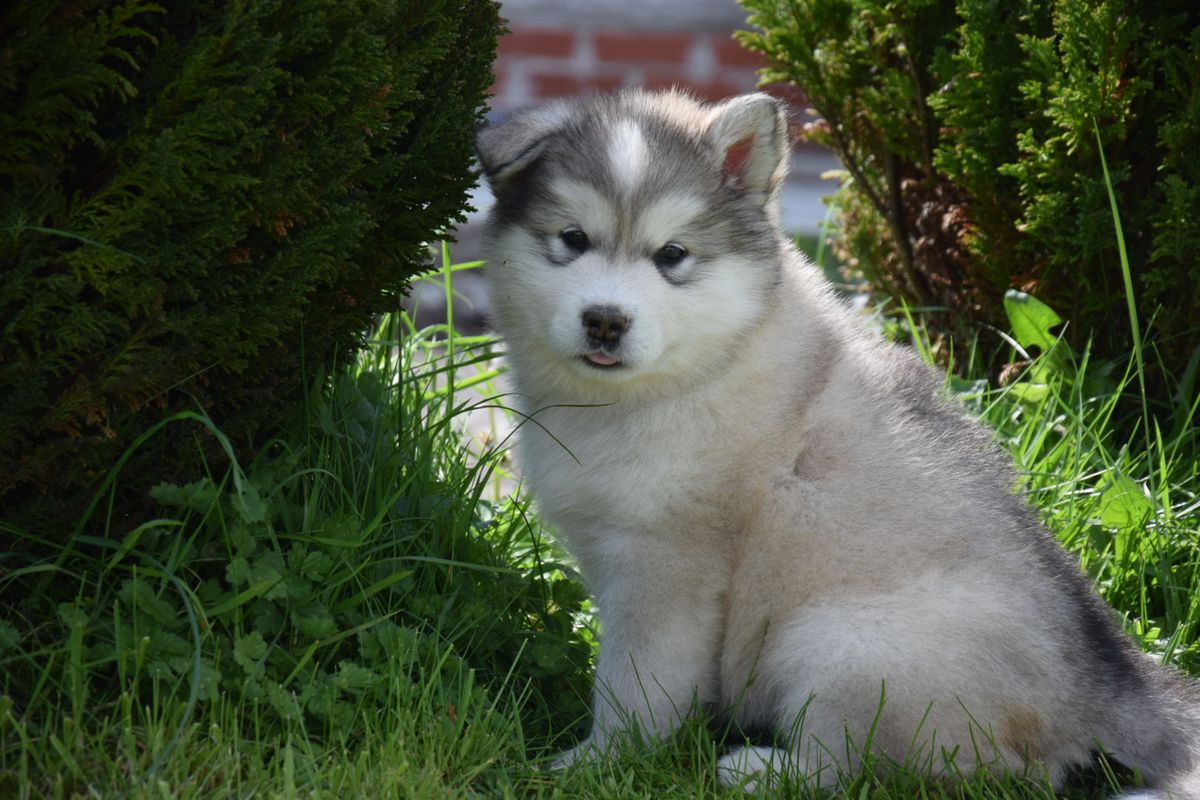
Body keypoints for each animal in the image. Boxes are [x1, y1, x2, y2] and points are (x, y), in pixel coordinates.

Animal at [475, 92, 1200, 796]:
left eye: (672, 255)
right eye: (572, 239)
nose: (605, 320)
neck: (702, 365)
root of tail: (1109, 683)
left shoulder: (668, 565)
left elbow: (636, 682)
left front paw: (599, 762)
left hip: (841, 644)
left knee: (877, 765)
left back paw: (761, 770)